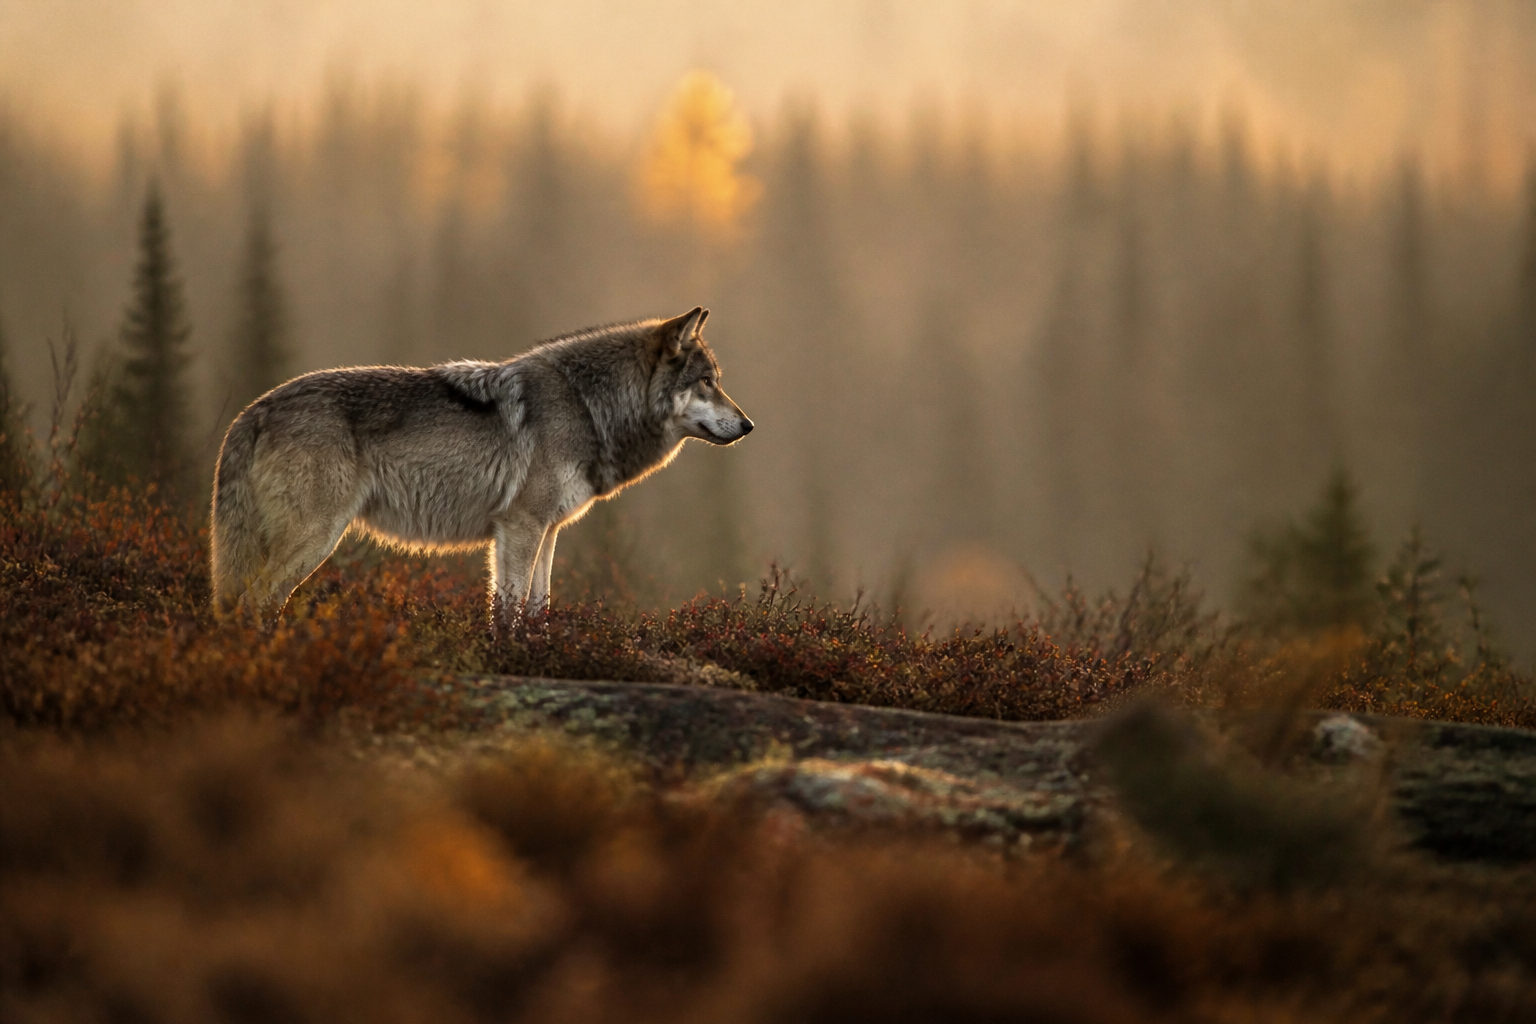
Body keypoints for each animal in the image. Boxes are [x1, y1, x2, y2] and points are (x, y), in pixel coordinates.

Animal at [209, 307, 752, 620]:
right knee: (255, 601)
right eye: (707, 382)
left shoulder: (546, 532)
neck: (587, 405)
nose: (748, 425)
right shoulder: (520, 527)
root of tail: (253, 410)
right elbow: (507, 614)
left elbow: (537, 612)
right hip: (318, 538)